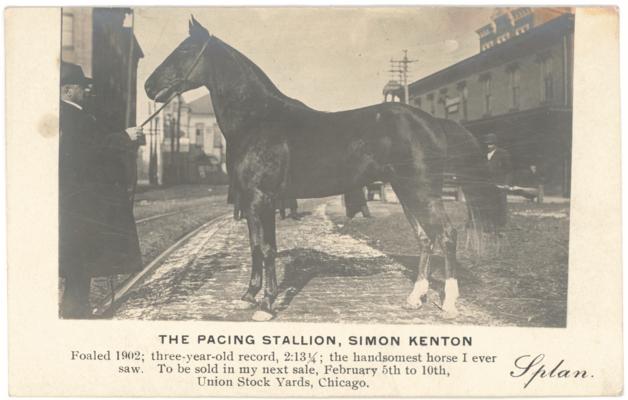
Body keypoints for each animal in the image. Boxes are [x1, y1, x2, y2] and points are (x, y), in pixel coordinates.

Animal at [145, 16, 498, 322]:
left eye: (185, 50)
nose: (148, 86)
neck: (259, 119)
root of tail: (433, 121)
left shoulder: (263, 198)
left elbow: (268, 248)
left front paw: (267, 305)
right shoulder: (249, 200)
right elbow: (255, 246)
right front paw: (248, 296)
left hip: (422, 190)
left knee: (447, 235)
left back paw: (449, 303)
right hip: (405, 190)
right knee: (425, 238)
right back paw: (414, 298)